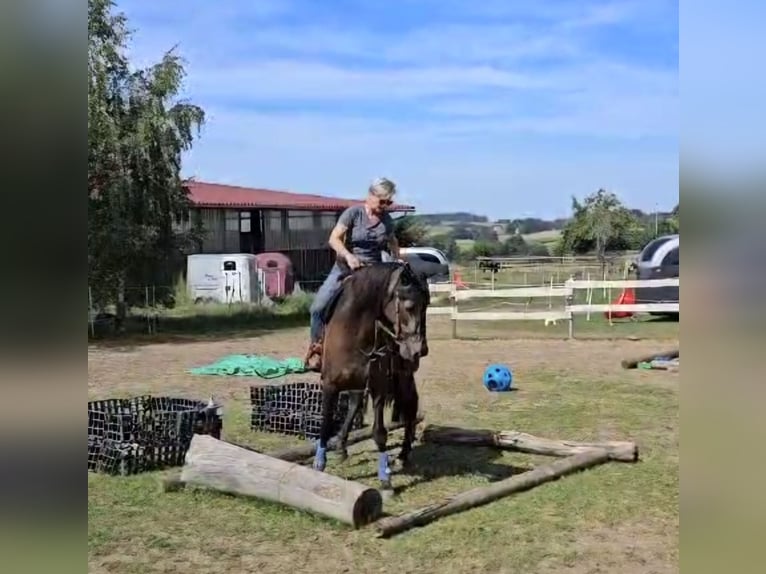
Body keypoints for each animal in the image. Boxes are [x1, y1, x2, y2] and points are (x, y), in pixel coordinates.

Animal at [314, 260, 438, 496]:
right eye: (409, 306)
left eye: (427, 305)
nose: (421, 350)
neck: (353, 331)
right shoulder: (330, 384)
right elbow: (325, 424)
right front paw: (319, 463)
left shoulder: (378, 386)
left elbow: (379, 432)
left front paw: (385, 480)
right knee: (354, 405)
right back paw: (342, 446)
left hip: (403, 377)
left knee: (410, 407)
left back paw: (404, 454)